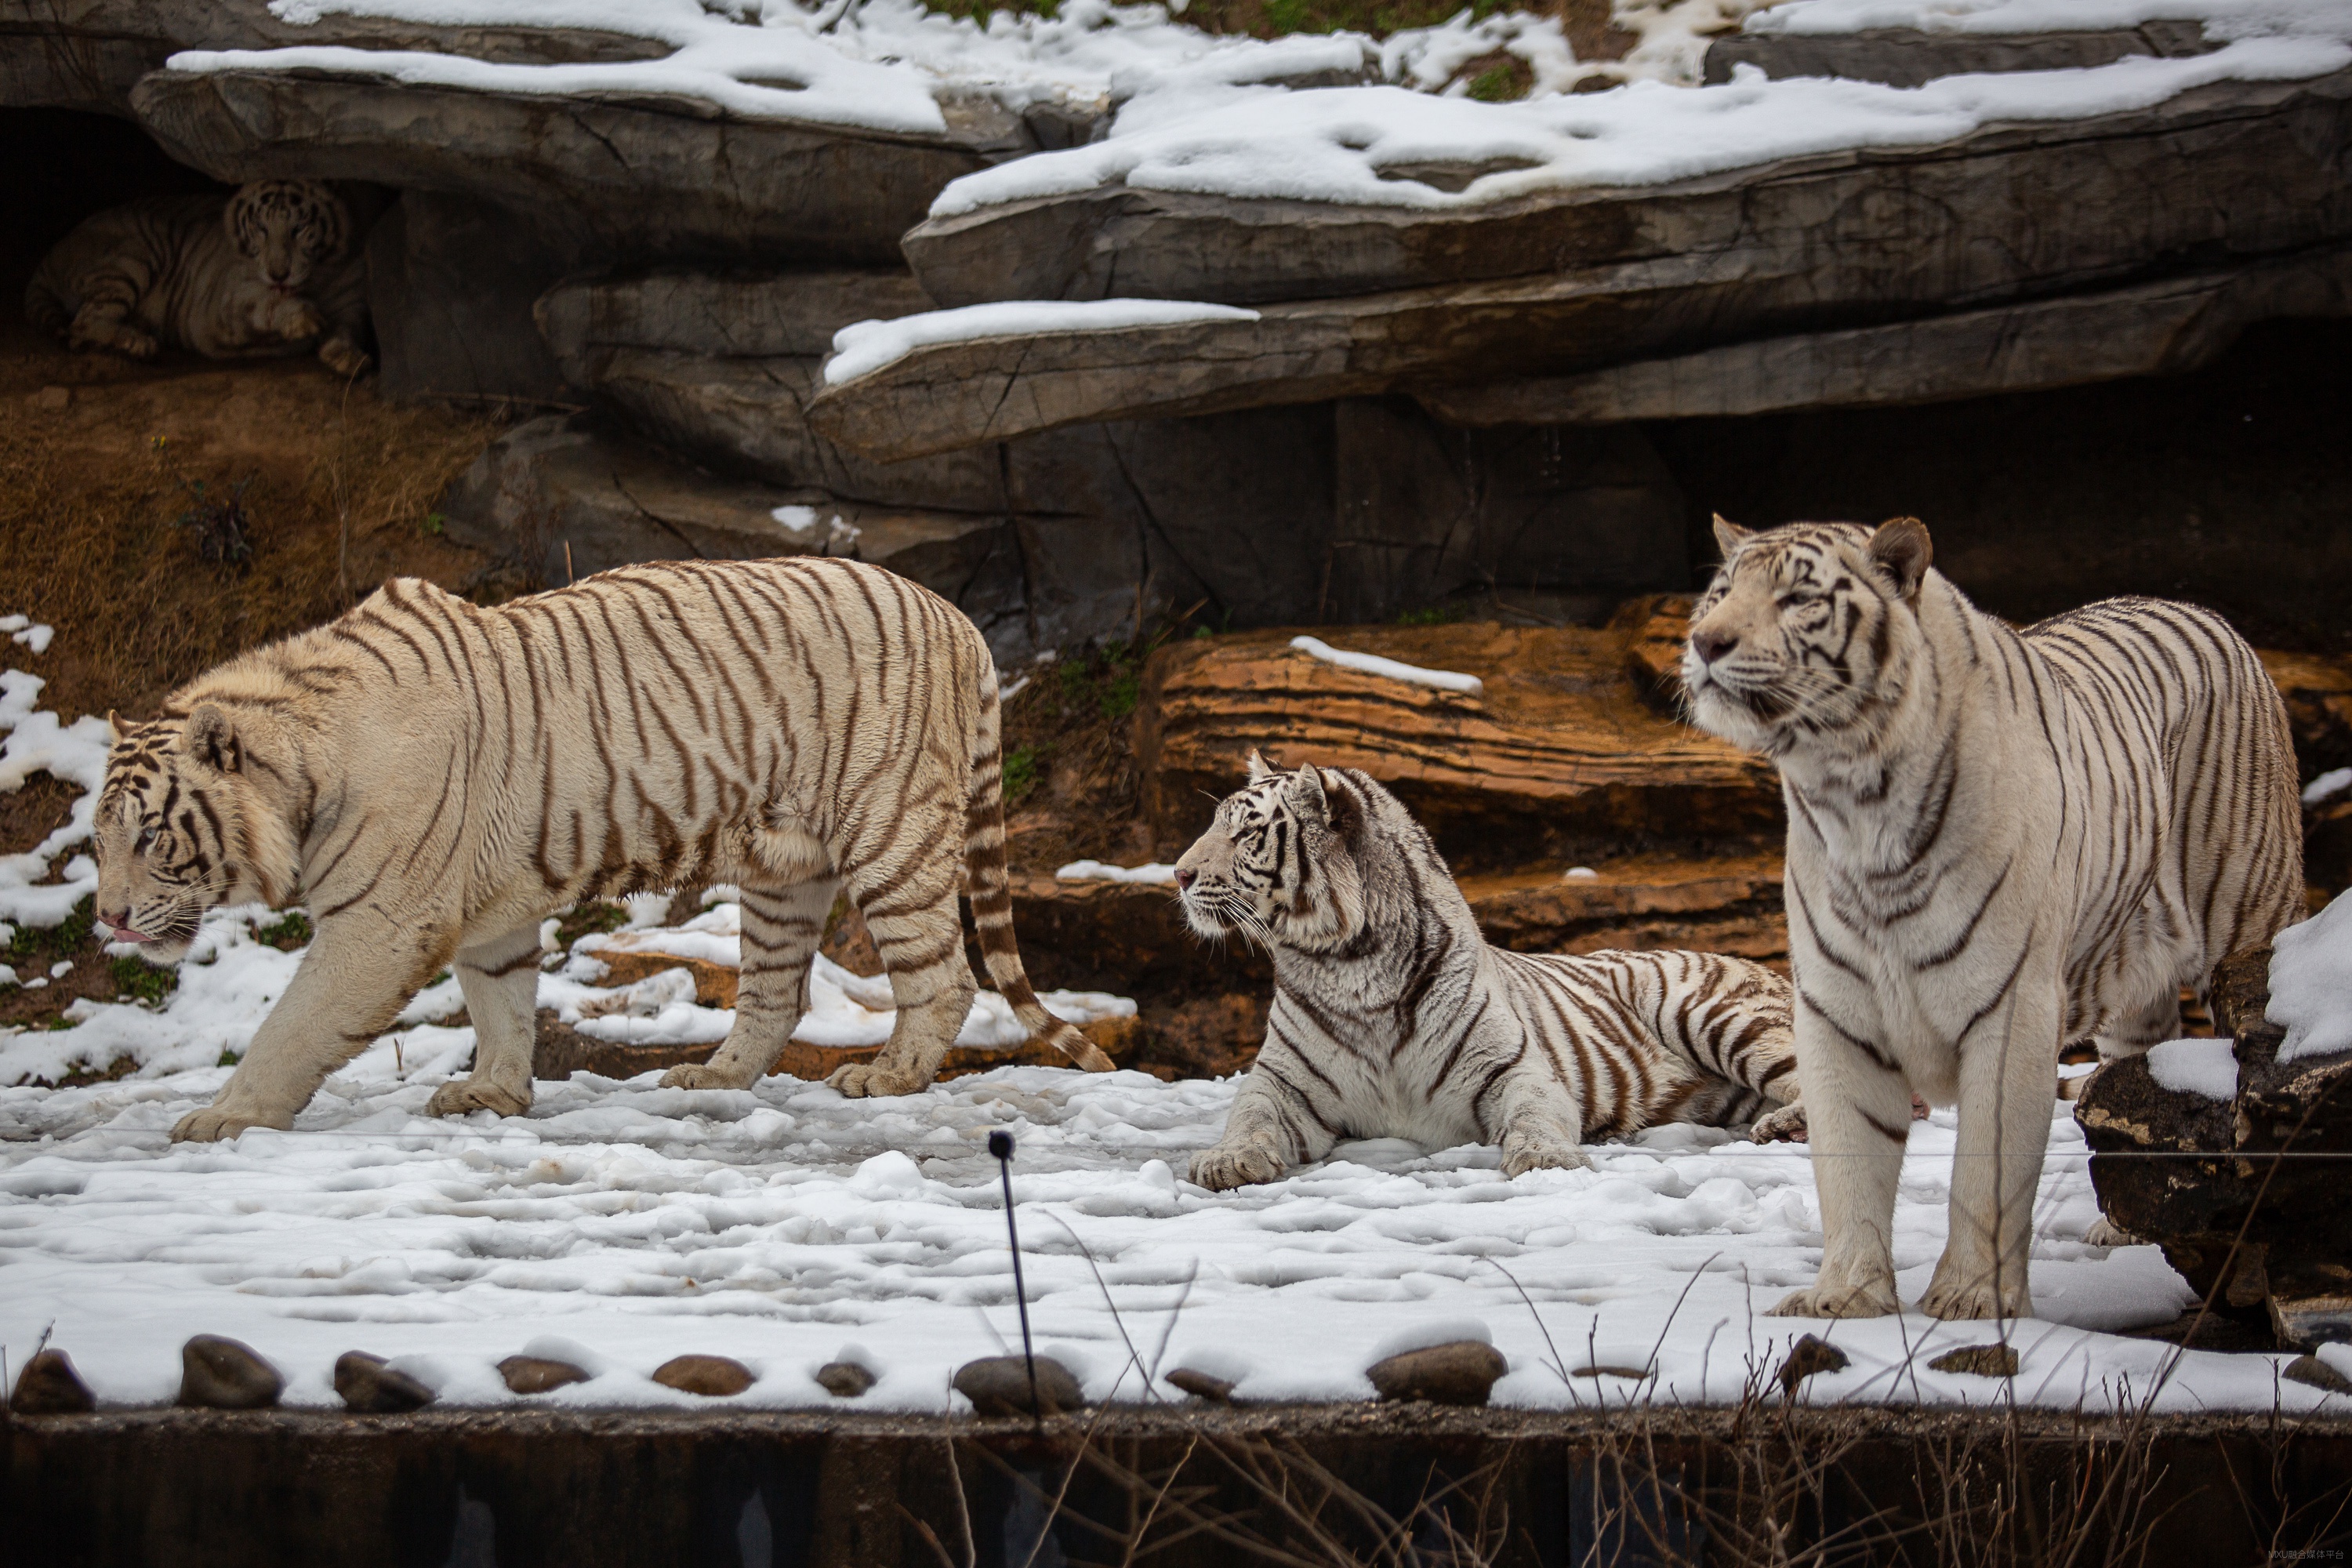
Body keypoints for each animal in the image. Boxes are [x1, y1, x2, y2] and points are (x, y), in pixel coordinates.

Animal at [24, 180, 372, 376]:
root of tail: (49, 256)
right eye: (261, 228)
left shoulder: (351, 302)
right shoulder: (219, 306)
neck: (319, 277)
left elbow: (345, 330)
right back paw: (139, 343)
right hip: (134, 255)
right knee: (84, 321)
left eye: (299, 229)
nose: (278, 274)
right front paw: (302, 317)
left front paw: (349, 358)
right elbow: (261, 304)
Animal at [89, 557, 1110, 1147]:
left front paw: (224, 1115)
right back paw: (713, 1074)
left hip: (888, 828)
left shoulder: (379, 923)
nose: (107, 916)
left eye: (149, 836)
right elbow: (501, 1002)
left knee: (942, 976)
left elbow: (292, 1025)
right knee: (776, 991)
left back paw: (887, 1074)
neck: (306, 767)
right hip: (786, 865)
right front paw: (493, 1095)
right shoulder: (484, 915)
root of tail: (959, 618)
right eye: (96, 842)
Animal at [1176, 761, 1797, 1189]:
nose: (1179, 874)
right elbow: (1248, 1117)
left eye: (1246, 835)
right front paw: (1226, 1161)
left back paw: (1786, 1129)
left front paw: (1547, 1159)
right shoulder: (1280, 1083)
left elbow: (1532, 1117)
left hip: (1719, 1015)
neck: (1350, 966)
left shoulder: (1517, 1070)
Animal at [1684, 517, 2305, 1326]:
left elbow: (1987, 1172)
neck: (1851, 795)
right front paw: (1845, 1297)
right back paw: (2125, 1226)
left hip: (2249, 921)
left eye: (1796, 599)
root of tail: (2201, 610)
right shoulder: (1839, 1012)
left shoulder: (2011, 1008)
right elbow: (1849, 1162)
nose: (1705, 642)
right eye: (1722, 592)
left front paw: (1969, 1300)